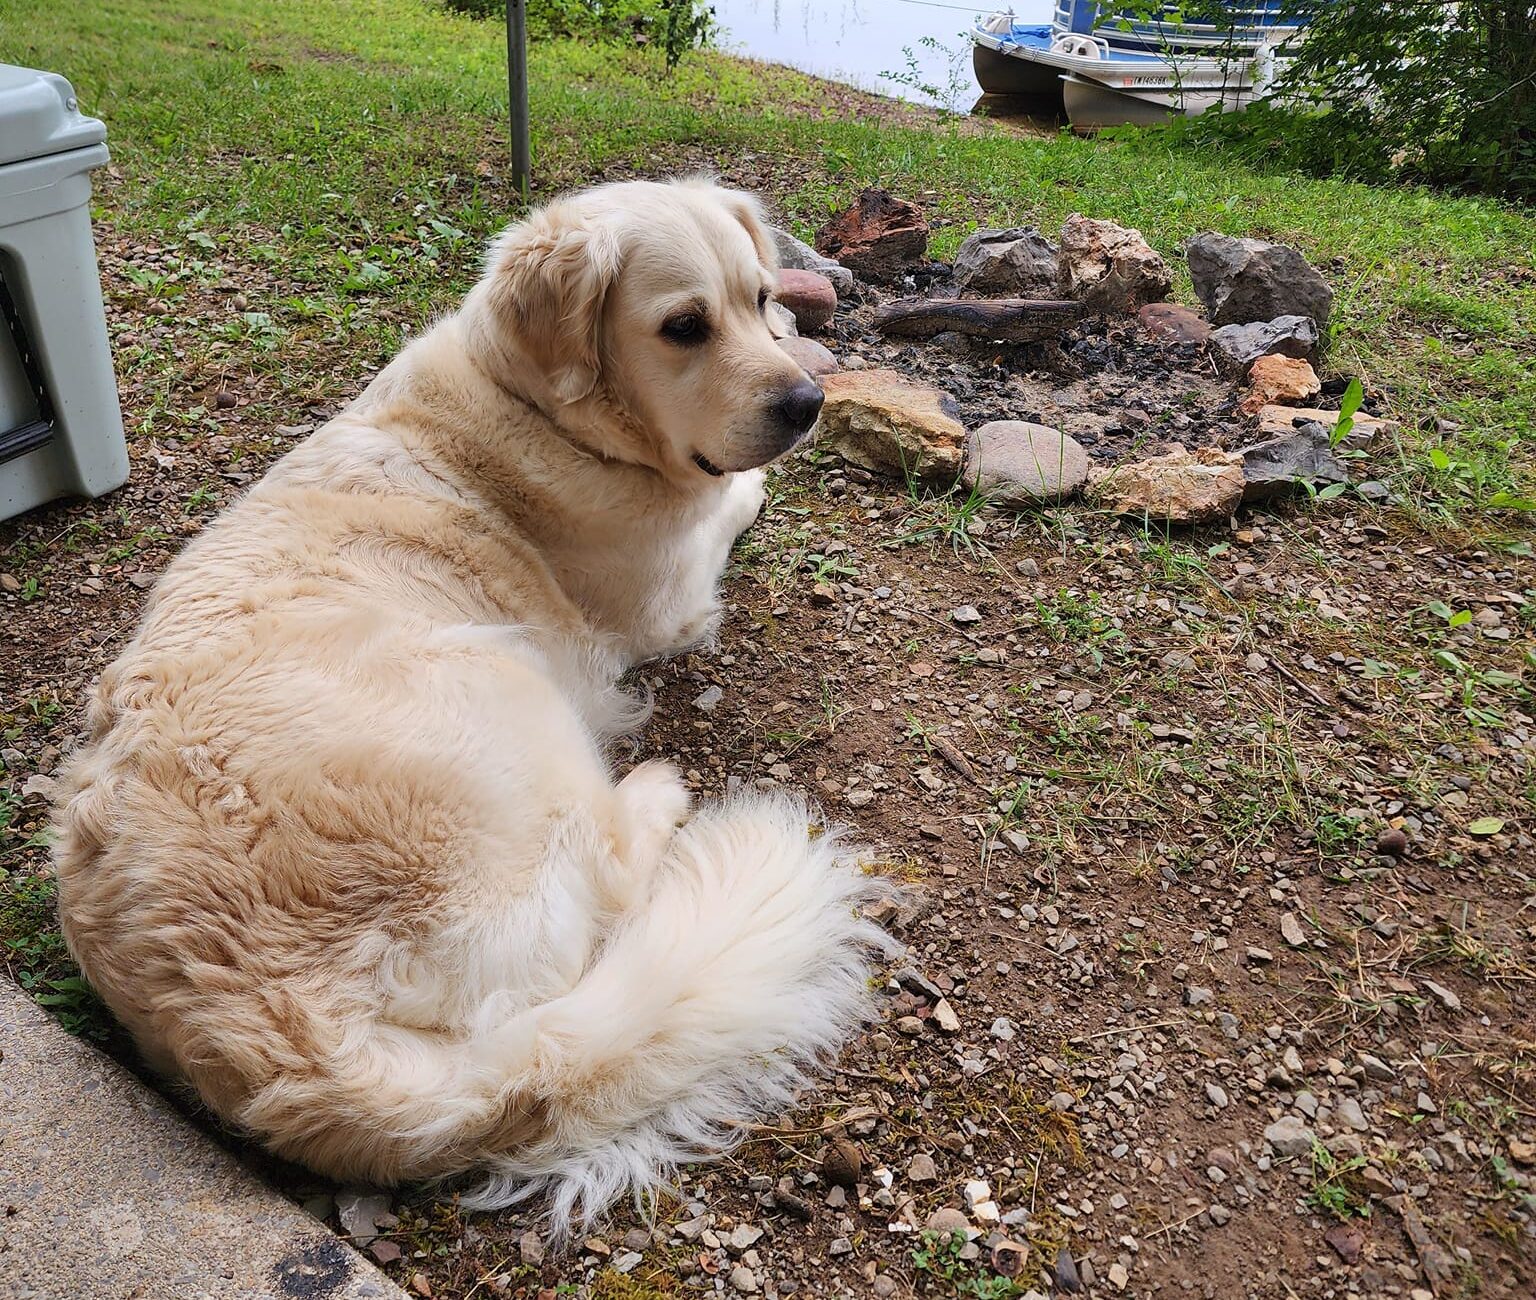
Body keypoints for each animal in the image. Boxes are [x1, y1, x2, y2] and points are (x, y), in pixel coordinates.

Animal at [54, 178, 890, 1229]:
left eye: (761, 298)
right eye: (684, 327)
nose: (807, 403)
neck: (533, 402)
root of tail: (288, 1029)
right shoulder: (675, 593)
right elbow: (738, 499)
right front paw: (758, 486)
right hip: (505, 693)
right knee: (610, 872)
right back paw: (657, 792)